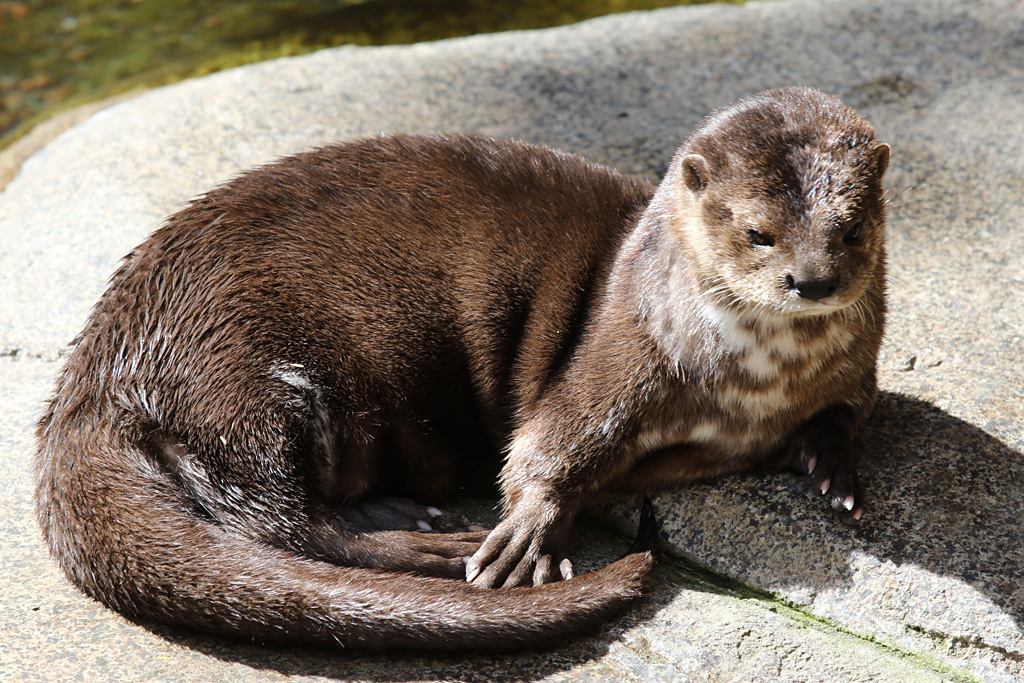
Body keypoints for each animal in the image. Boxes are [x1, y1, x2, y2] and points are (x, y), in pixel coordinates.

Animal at [35, 87, 889, 650]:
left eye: (850, 228)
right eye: (758, 231)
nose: (813, 280)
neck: (757, 387)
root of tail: (96, 370)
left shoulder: (854, 367)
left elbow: (851, 409)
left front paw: (834, 466)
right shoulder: (618, 358)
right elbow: (546, 444)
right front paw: (529, 533)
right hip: (244, 377)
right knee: (281, 522)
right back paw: (434, 539)